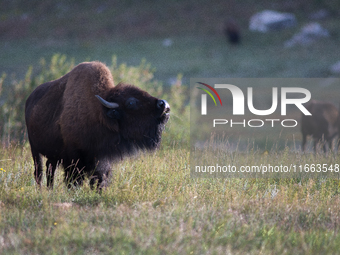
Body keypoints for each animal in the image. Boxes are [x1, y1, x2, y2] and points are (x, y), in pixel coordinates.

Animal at [24, 61, 170, 189]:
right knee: (39, 172)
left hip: (52, 154)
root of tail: (29, 99)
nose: (164, 105)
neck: (100, 113)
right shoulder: (74, 159)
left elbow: (100, 179)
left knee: (49, 168)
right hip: (35, 150)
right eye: (131, 102)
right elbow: (74, 180)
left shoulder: (102, 160)